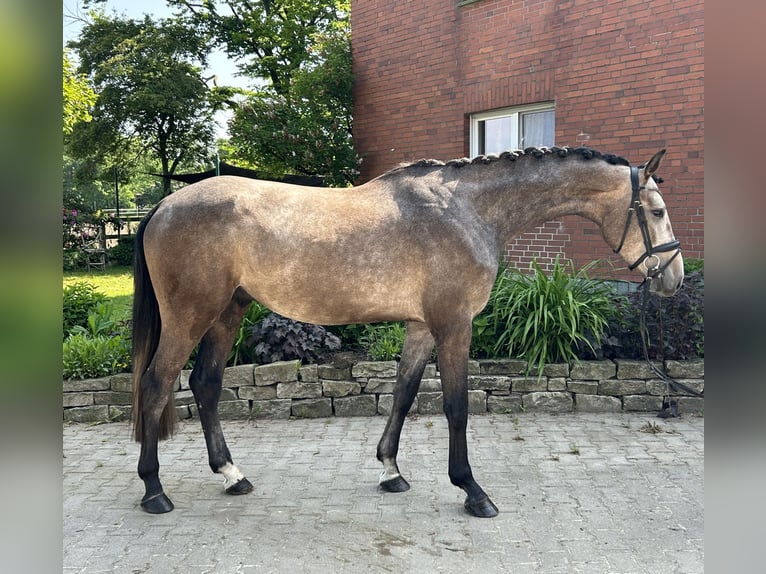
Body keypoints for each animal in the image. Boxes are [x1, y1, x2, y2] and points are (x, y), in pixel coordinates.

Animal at [130, 144, 684, 516]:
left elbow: (403, 392)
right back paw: (154, 491)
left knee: (205, 384)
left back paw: (232, 475)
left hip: (228, 313)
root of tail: (163, 205)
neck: (468, 211)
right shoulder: (454, 324)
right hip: (191, 315)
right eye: (657, 211)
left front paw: (390, 471)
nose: (673, 278)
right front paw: (472, 490)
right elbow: (456, 406)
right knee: (157, 385)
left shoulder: (421, 326)